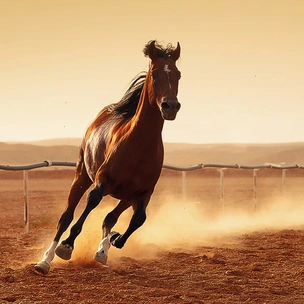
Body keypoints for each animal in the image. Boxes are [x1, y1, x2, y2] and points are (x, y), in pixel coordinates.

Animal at [33, 40, 180, 276]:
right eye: (155, 74)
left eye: (178, 74)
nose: (171, 106)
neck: (139, 146)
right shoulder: (103, 180)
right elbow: (91, 203)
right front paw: (67, 246)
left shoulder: (142, 193)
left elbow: (137, 219)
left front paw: (112, 241)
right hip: (82, 176)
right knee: (66, 217)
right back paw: (45, 261)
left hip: (125, 196)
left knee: (110, 218)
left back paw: (103, 249)